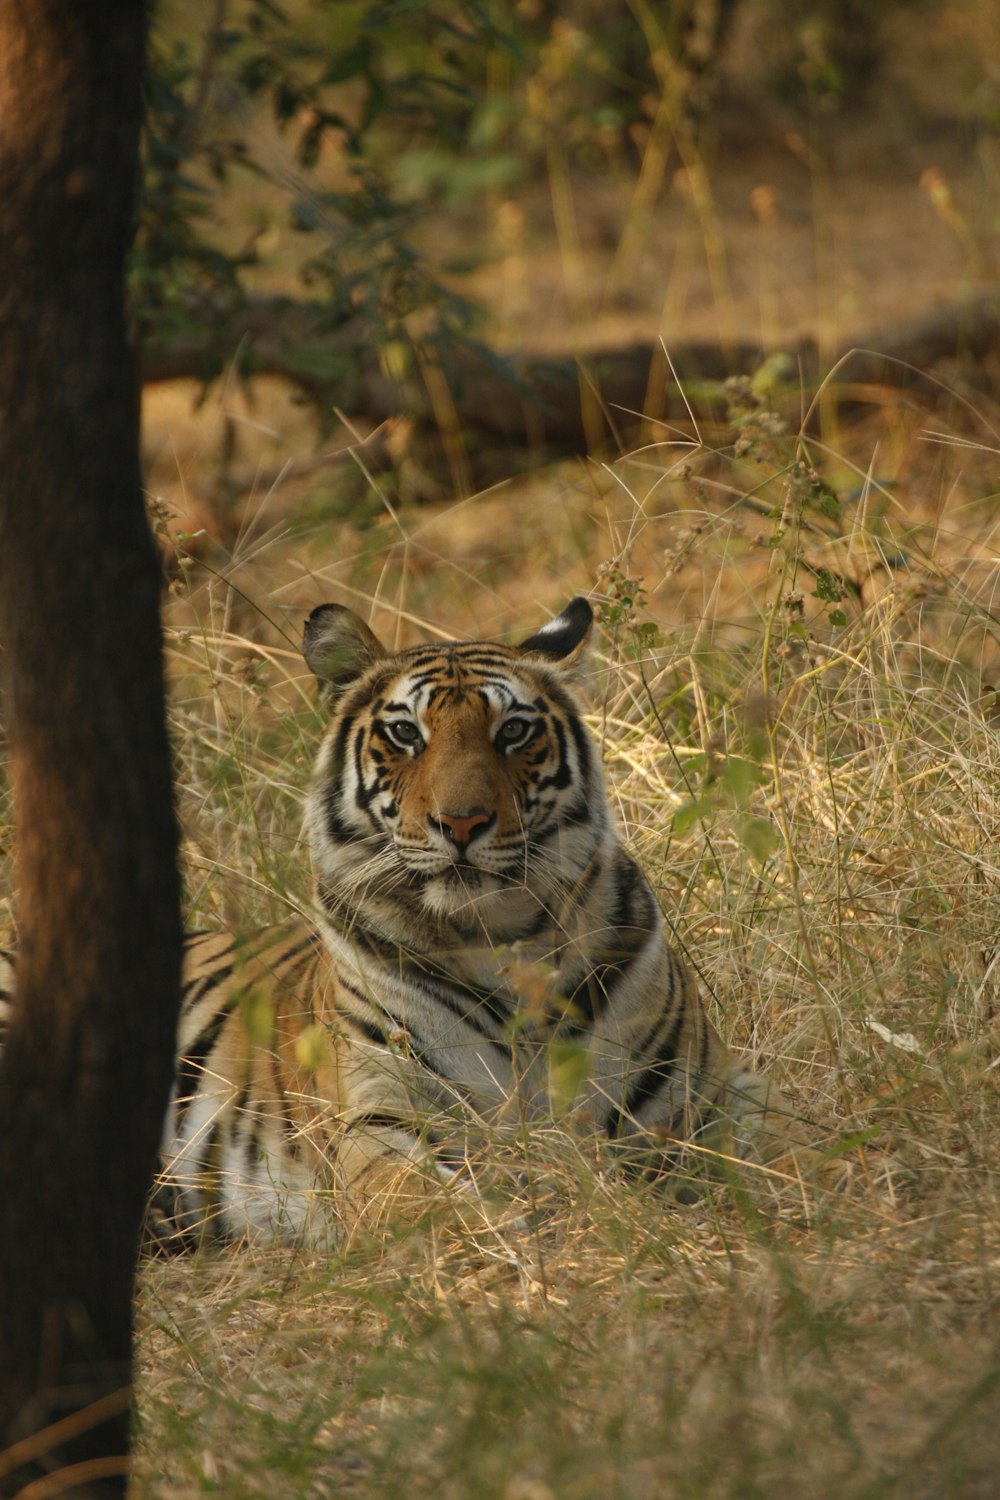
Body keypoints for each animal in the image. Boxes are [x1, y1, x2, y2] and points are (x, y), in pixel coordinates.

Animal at [3, 594, 791, 1242]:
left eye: (513, 731)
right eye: (407, 733)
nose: (462, 822)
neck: (505, 938)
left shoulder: (705, 1092)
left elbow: (778, 1141)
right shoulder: (381, 1118)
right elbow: (430, 1200)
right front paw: (523, 1230)